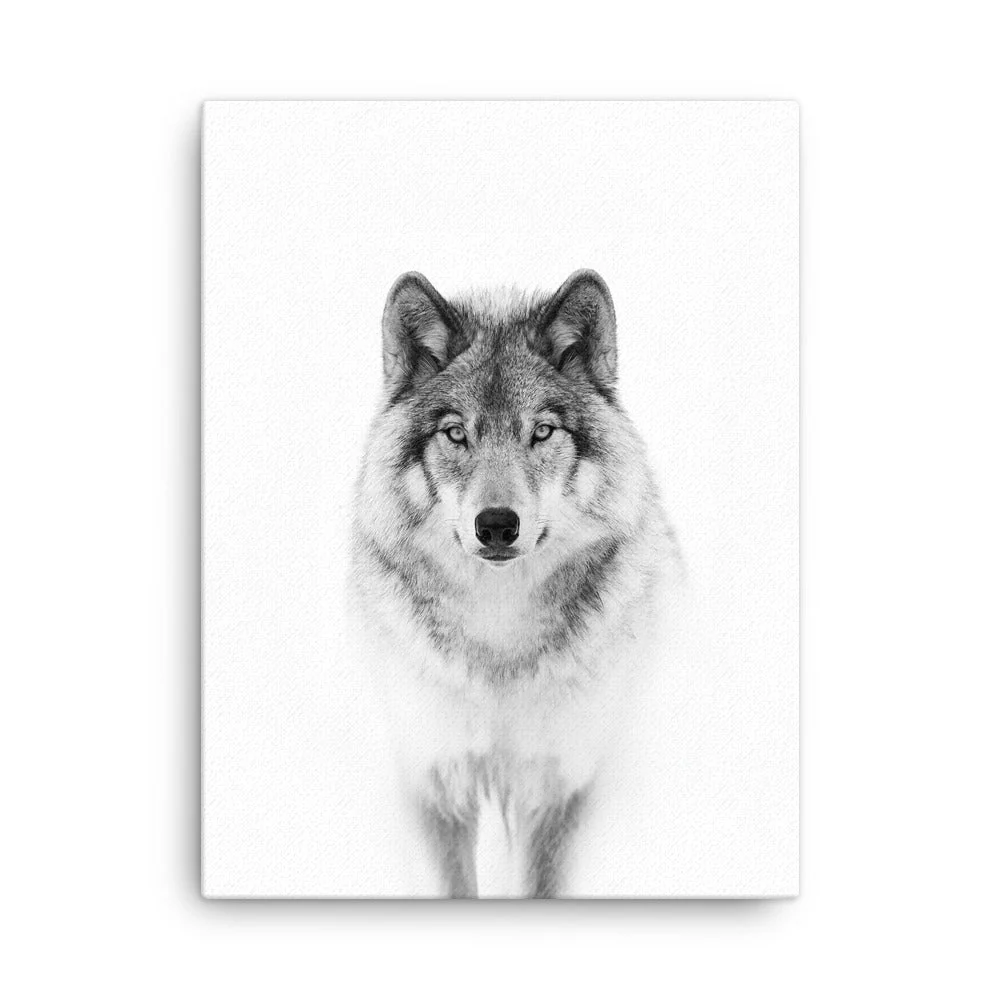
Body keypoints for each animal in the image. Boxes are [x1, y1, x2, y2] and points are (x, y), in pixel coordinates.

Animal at [349, 269, 683, 897]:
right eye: (456, 434)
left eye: (542, 432)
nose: (498, 525)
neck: (498, 636)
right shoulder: (435, 778)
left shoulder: (559, 784)